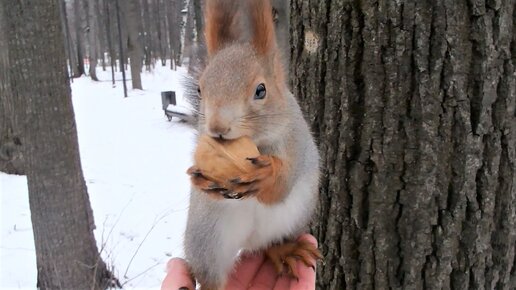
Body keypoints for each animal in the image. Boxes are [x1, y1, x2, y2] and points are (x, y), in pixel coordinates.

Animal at [183, 1, 320, 288]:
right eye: (200, 90)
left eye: (261, 90)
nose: (217, 128)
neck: (255, 143)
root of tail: (249, 242)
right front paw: (199, 177)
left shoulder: (294, 141)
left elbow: (282, 185)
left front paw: (265, 174)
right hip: (206, 242)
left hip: (295, 218)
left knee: (272, 243)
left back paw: (285, 250)